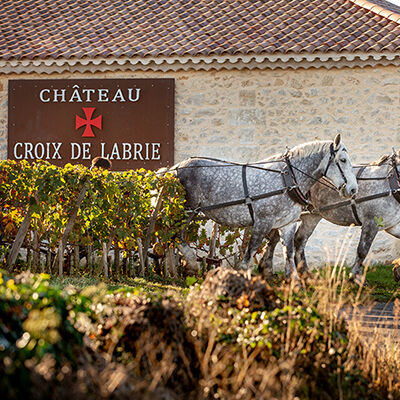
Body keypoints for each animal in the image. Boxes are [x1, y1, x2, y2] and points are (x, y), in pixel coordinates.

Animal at [173, 136, 358, 280]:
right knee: (176, 236)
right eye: (343, 160)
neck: (287, 179)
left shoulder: (287, 224)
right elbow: (250, 253)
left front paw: (295, 282)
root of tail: (176, 168)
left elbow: (289, 253)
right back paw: (190, 264)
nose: (353, 189)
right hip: (187, 210)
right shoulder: (263, 222)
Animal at [260, 152, 400, 284]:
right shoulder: (371, 223)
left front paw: (397, 269)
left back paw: (303, 273)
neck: (388, 182)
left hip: (311, 216)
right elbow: (362, 250)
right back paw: (267, 271)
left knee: (298, 239)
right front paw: (356, 277)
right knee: (276, 239)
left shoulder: (393, 226)